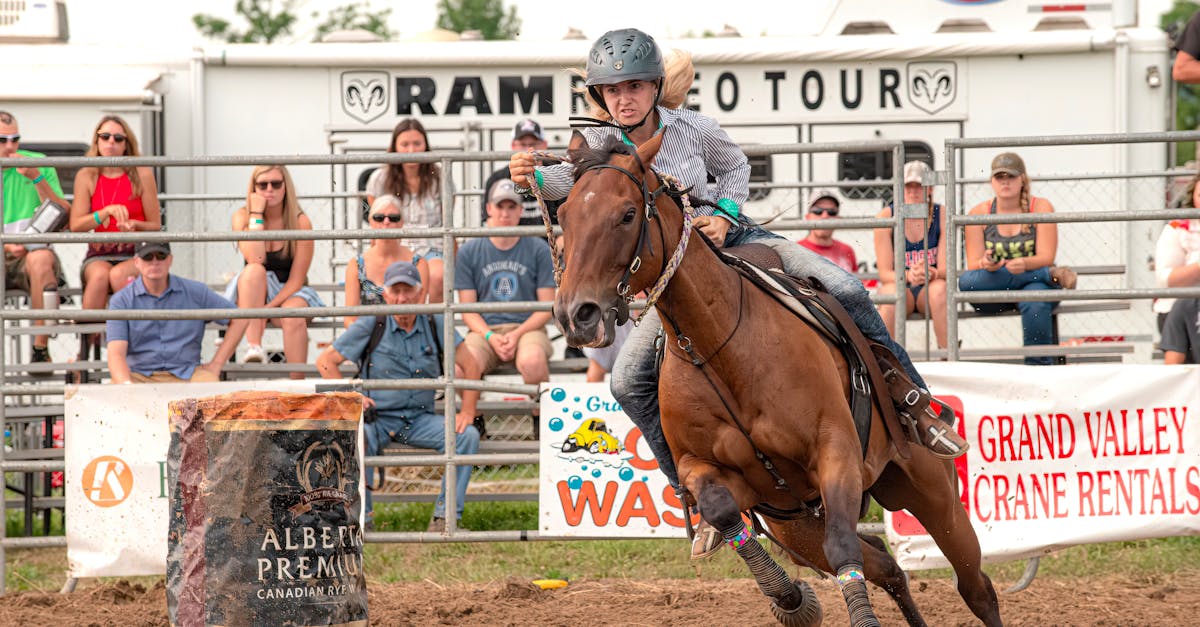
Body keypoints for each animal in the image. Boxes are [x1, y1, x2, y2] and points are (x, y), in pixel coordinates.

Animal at [552, 129, 1003, 619]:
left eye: (628, 213)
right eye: (563, 216)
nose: (576, 314)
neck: (722, 345)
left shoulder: (835, 449)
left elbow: (843, 547)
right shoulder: (703, 469)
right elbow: (723, 512)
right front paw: (790, 598)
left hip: (933, 495)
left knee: (975, 587)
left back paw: (928, 422)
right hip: (799, 525)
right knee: (887, 567)